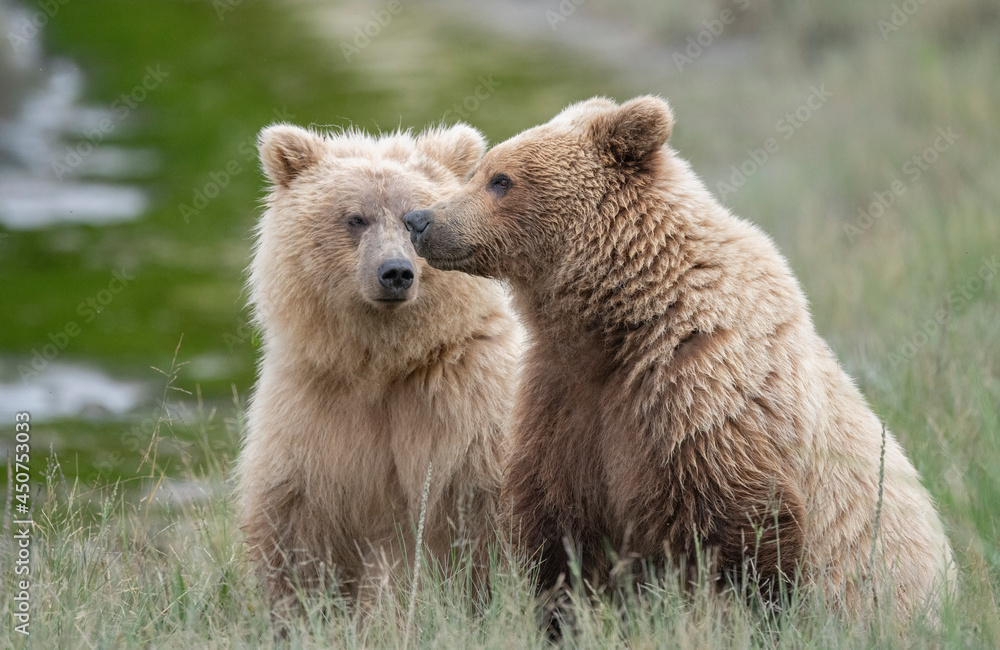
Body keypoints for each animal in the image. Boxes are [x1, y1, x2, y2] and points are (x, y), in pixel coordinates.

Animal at [236, 122, 522, 614]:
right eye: (356, 218)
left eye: (412, 217)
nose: (395, 272)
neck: (383, 362)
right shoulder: (313, 413)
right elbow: (296, 528)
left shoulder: (468, 411)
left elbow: (480, 528)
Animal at [404, 96, 955, 622]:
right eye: (480, 170)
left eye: (501, 179)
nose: (420, 220)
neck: (618, 322)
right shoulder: (565, 401)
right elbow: (560, 532)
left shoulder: (699, 395)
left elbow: (738, 537)